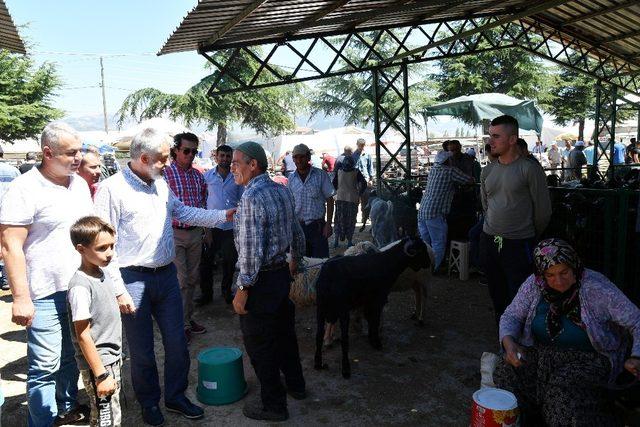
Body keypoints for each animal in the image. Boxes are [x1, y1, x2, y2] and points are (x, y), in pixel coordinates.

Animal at [314, 237, 432, 382]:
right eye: (420, 250)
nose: (428, 263)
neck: (388, 262)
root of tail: (327, 274)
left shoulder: (368, 302)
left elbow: (370, 319)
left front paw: (371, 338)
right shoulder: (378, 299)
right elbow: (374, 320)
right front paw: (376, 342)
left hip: (321, 307)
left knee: (318, 335)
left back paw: (318, 364)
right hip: (342, 309)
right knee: (345, 339)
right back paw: (346, 370)